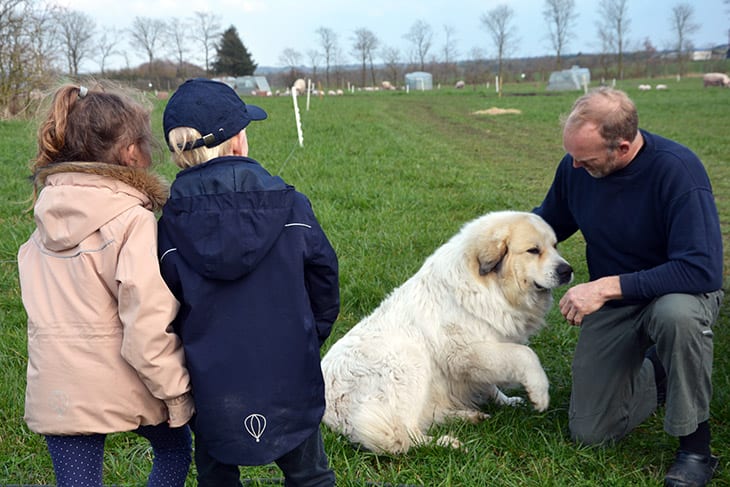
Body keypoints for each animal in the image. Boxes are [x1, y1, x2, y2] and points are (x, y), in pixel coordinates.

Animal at [322, 212, 572, 456]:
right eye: (533, 250)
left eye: (555, 246)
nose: (567, 270)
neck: (491, 287)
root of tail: (326, 414)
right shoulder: (465, 353)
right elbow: (525, 355)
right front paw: (539, 392)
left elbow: (490, 383)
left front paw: (507, 401)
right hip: (410, 362)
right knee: (401, 436)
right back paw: (446, 443)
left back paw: (468, 416)